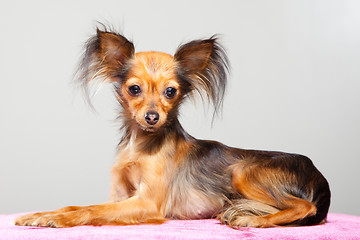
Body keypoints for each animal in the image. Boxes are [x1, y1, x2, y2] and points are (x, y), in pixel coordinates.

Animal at [14, 27, 330, 228]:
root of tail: (319, 176)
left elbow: (93, 210)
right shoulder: (120, 195)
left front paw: (53, 219)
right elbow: (79, 206)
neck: (141, 144)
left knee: (305, 206)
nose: (152, 117)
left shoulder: (146, 203)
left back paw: (253, 219)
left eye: (170, 92)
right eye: (134, 89)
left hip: (242, 171)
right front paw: (42, 213)